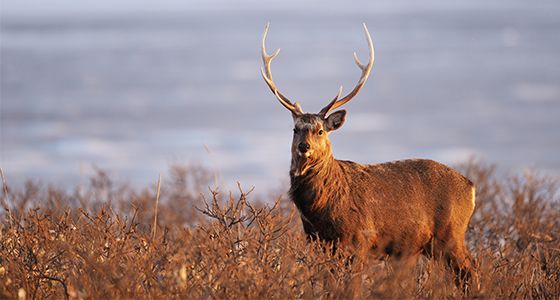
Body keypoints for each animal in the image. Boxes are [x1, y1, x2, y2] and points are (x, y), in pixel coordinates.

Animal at [262, 23, 476, 288]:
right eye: (295, 129)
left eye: (320, 130)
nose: (304, 146)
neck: (320, 209)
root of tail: (471, 188)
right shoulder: (318, 241)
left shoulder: (358, 239)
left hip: (451, 234)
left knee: (470, 270)